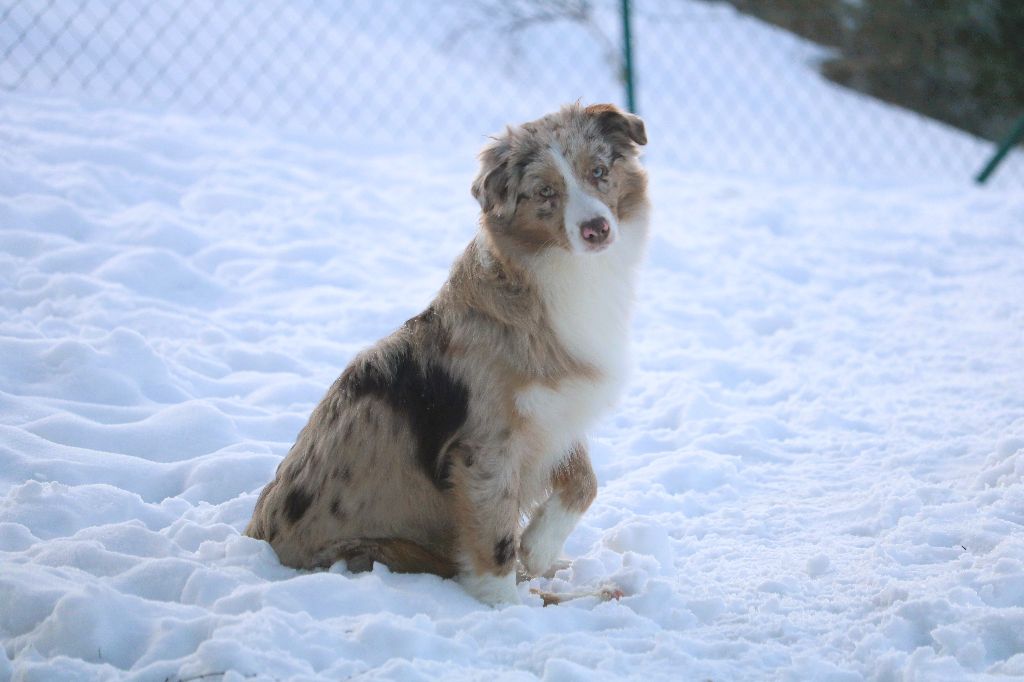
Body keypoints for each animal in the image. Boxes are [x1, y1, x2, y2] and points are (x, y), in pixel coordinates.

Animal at [242, 103, 647, 602]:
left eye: (599, 171)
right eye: (545, 192)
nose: (596, 229)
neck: (555, 276)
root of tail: (257, 540)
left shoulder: (557, 413)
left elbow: (585, 482)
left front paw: (538, 547)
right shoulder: (485, 448)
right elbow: (495, 546)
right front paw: (508, 604)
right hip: (388, 550)